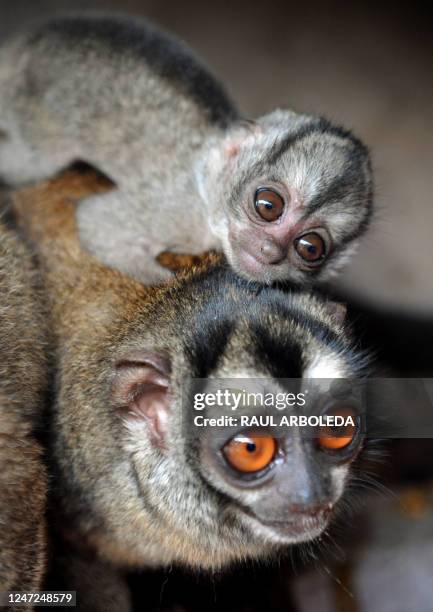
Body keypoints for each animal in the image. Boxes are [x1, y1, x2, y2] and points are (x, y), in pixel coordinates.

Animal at [0, 11, 372, 284]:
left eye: (310, 247)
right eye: (268, 205)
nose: (269, 250)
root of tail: (19, 46)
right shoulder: (180, 214)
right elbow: (98, 222)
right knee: (32, 164)